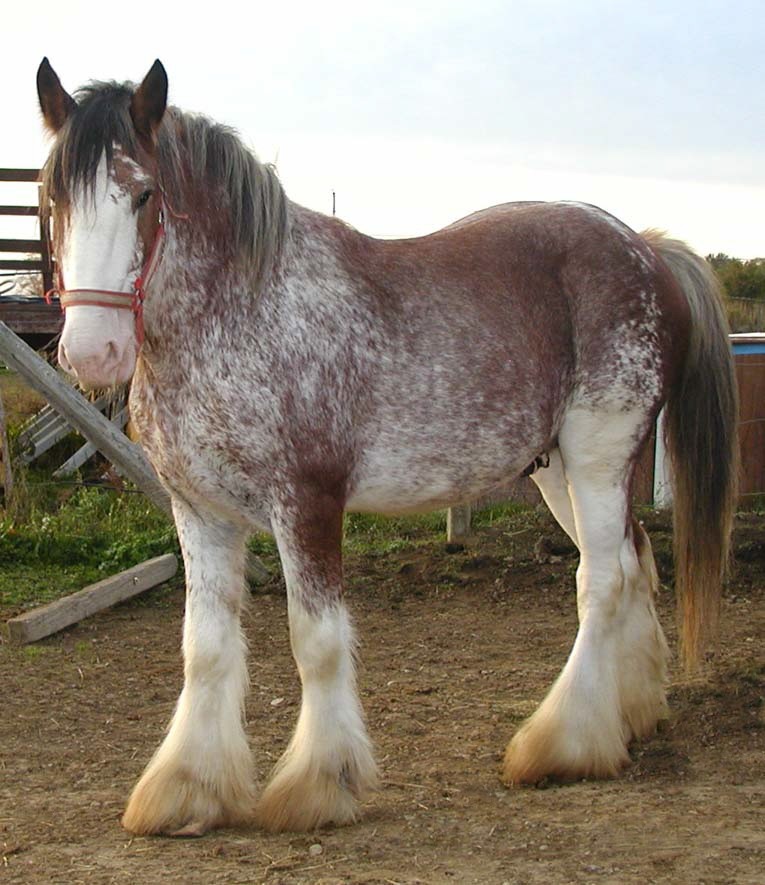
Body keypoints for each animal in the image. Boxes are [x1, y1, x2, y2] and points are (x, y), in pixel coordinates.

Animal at [34, 60, 736, 836]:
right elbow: (205, 649)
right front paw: (188, 789)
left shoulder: (307, 503)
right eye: (50, 194)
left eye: (144, 194)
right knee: (632, 559)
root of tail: (647, 248)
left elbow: (316, 641)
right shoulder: (200, 512)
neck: (237, 314)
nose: (92, 352)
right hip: (557, 471)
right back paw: (632, 714)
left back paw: (562, 744)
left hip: (599, 456)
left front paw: (320, 783)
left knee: (602, 581)